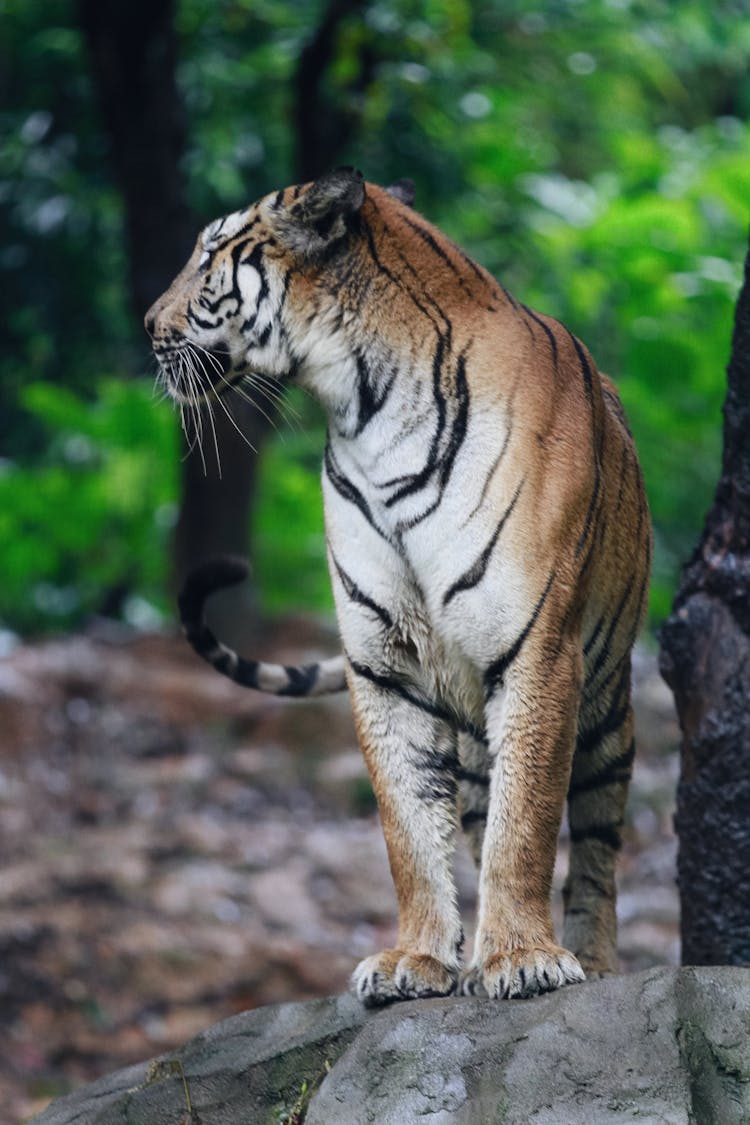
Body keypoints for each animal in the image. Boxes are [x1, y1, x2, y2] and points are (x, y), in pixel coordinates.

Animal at [145, 164, 652, 1003]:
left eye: (211, 253)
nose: (149, 324)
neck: (365, 409)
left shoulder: (539, 649)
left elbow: (527, 819)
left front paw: (523, 957)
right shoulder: (384, 662)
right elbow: (407, 827)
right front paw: (416, 957)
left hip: (608, 706)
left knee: (597, 841)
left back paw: (595, 957)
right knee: (476, 816)